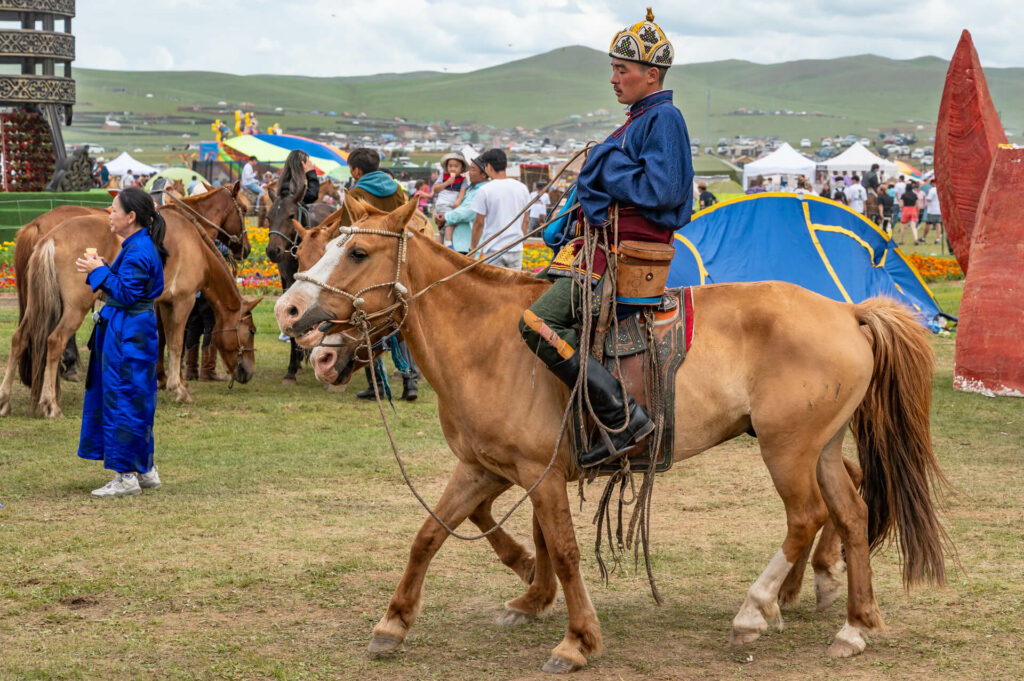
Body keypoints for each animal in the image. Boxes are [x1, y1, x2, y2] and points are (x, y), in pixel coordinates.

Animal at [0, 199, 260, 417]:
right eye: (251, 331)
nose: (248, 372)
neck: (194, 242)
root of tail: (49, 238)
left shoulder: (164, 304)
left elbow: (165, 343)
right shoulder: (183, 301)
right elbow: (176, 344)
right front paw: (178, 389)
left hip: (37, 307)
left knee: (19, 339)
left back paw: (5, 400)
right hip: (74, 309)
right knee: (55, 342)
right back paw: (50, 404)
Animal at [274, 199, 950, 671]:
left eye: (357, 253)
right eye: (313, 254)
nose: (290, 314)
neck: (485, 341)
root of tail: (849, 311)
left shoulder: (539, 472)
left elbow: (564, 550)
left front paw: (577, 640)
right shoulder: (482, 468)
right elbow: (430, 536)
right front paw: (394, 624)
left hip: (787, 449)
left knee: (807, 518)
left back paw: (758, 610)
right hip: (822, 447)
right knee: (852, 513)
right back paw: (855, 624)